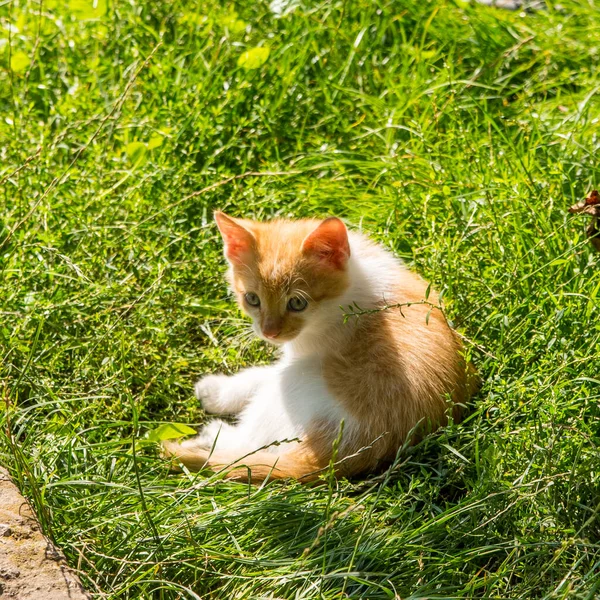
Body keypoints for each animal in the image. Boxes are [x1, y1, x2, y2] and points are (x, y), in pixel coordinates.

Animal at [163, 213, 478, 480]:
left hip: (301, 380)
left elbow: (262, 375)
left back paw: (213, 435)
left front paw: (216, 392)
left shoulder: (305, 349)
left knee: (254, 442)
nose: (270, 332)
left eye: (297, 302)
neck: (350, 288)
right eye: (252, 299)